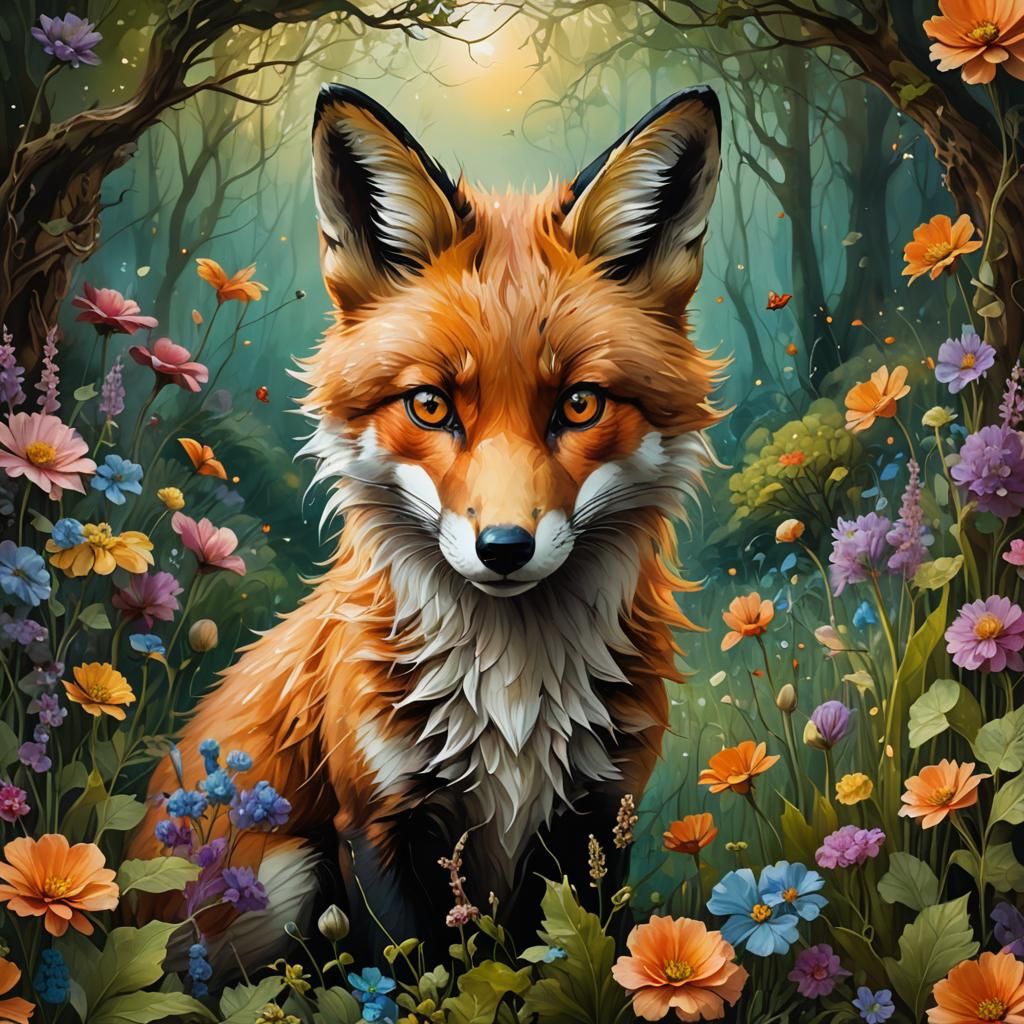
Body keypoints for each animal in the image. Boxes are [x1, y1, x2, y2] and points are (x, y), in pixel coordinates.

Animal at [130, 82, 725, 966]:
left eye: (580, 404)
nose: (505, 548)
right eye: (431, 405)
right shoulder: (380, 819)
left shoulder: (597, 814)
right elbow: (416, 972)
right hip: (278, 875)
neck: (514, 700)